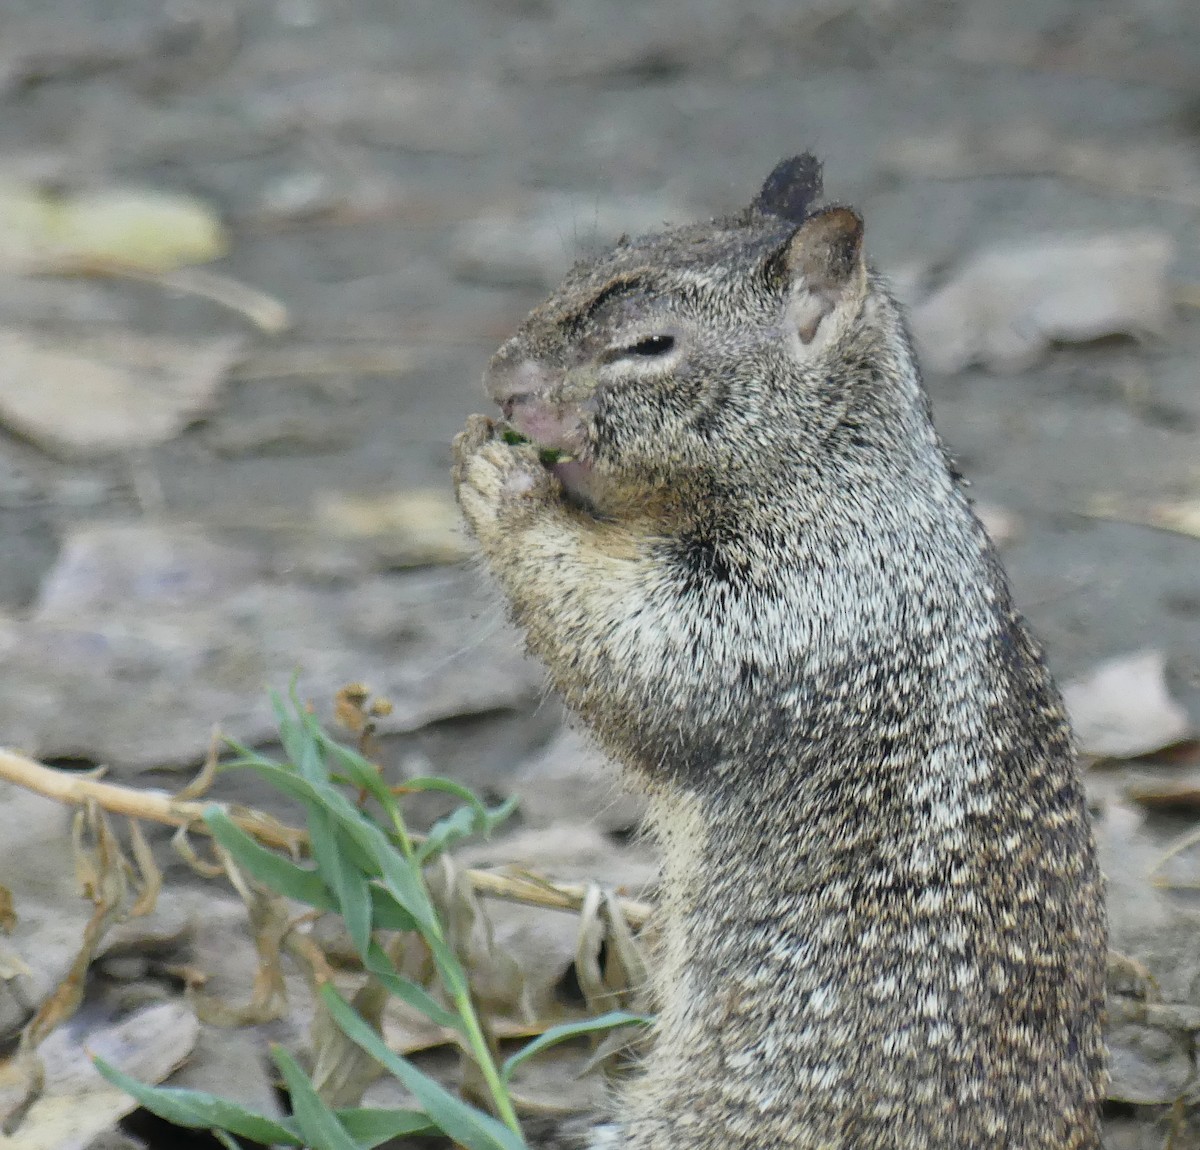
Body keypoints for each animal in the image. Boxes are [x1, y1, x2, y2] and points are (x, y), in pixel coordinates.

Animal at [452, 154, 1107, 1149]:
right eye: (591, 262)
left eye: (650, 344)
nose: (501, 384)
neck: (840, 469)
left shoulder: (786, 609)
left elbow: (640, 662)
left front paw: (502, 479)